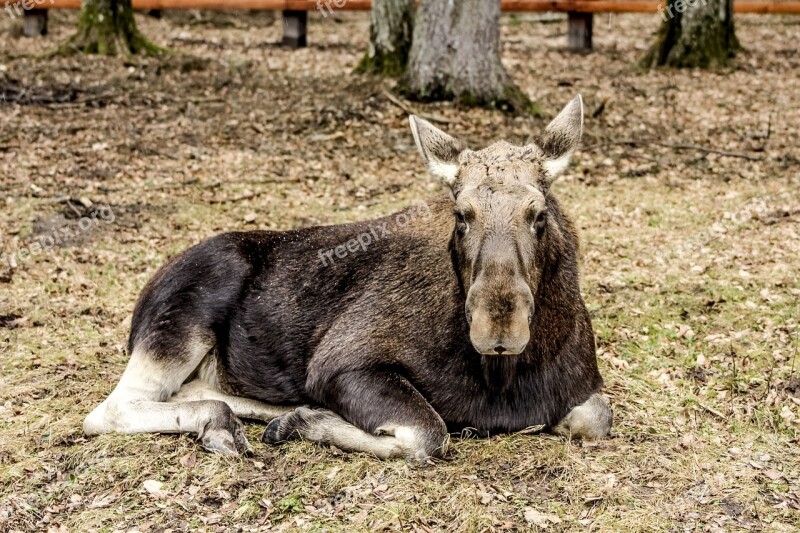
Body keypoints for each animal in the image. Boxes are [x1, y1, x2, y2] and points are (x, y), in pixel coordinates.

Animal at [84, 96, 612, 462]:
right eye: (461, 215)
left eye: (538, 214)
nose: (498, 327)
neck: (504, 375)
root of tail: (142, 302)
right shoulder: (340, 364)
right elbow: (428, 433)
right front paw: (304, 424)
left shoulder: (584, 392)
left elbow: (596, 417)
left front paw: (302, 418)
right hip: (179, 328)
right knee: (109, 410)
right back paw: (227, 425)